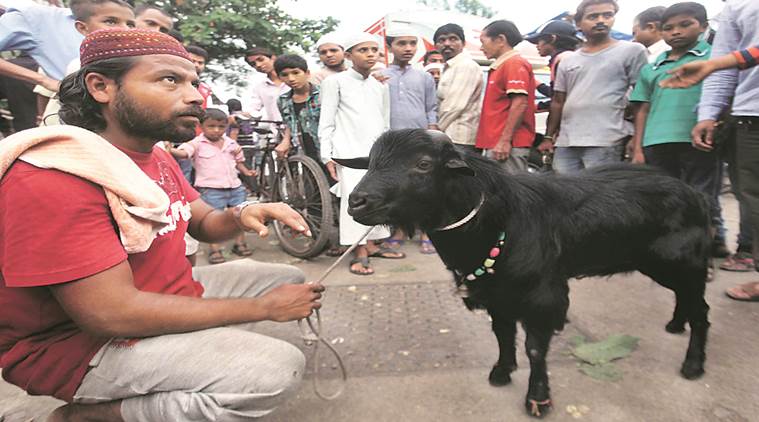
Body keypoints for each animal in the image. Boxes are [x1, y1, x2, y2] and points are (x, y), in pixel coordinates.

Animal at [336, 129, 708, 418]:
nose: (357, 202)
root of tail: (693, 193)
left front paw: (538, 399)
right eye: (371, 162)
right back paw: (676, 325)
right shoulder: (497, 293)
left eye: (423, 164)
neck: (499, 221)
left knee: (701, 310)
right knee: (685, 298)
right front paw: (501, 372)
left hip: (683, 261)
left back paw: (693, 365)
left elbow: (535, 349)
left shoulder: (541, 296)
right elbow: (502, 334)